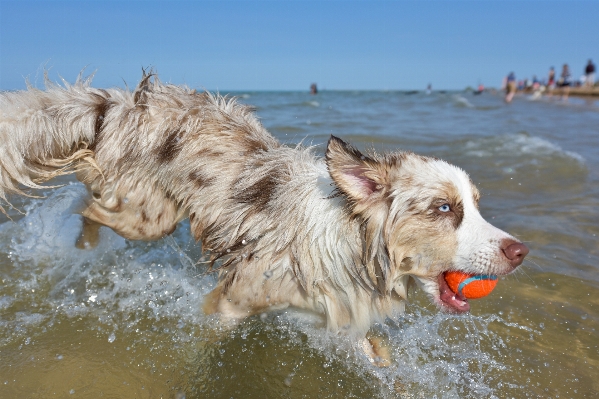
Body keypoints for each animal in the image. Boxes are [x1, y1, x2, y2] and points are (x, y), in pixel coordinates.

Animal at [0, 73, 528, 368]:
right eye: (444, 209)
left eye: (476, 204)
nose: (520, 251)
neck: (351, 242)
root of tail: (127, 101)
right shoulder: (231, 301)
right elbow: (206, 340)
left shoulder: (338, 311)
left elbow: (377, 357)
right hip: (148, 216)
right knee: (89, 207)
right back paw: (81, 250)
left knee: (88, 191)